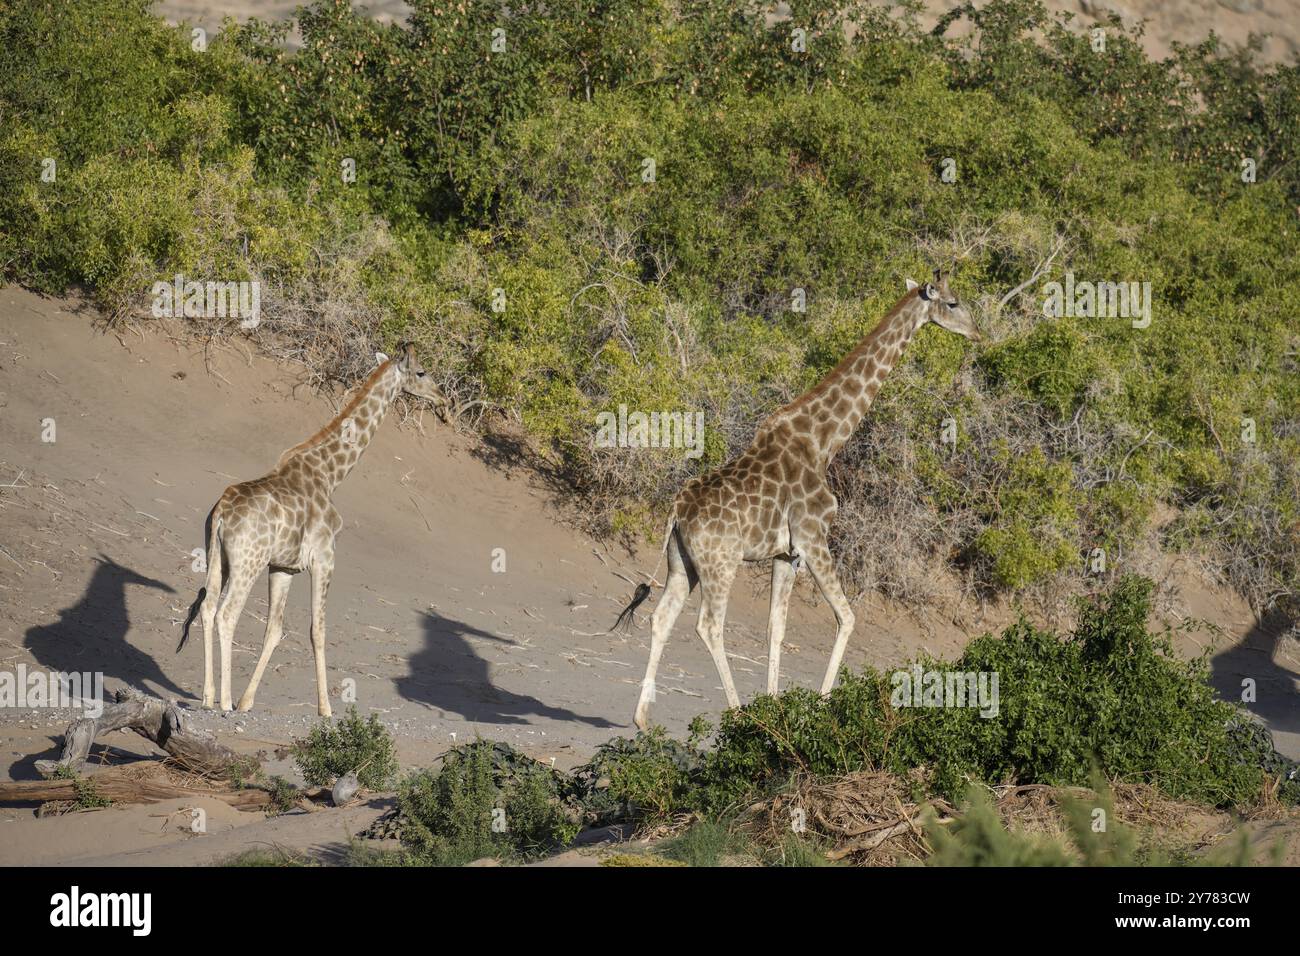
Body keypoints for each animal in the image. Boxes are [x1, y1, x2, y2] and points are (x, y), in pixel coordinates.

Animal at [176, 345, 447, 717]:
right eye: (421, 372)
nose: (441, 397)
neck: (331, 475)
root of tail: (220, 514)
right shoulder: (324, 558)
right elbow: (317, 630)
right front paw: (326, 709)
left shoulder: (283, 567)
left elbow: (274, 630)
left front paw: (248, 702)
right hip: (248, 562)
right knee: (226, 614)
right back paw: (225, 701)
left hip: (217, 558)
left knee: (206, 608)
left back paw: (208, 696)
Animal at [613, 273, 977, 728]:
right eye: (953, 302)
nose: (978, 333)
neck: (823, 441)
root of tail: (677, 513)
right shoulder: (813, 538)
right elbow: (848, 617)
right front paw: (820, 706)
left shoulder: (786, 553)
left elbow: (776, 627)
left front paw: (774, 706)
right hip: (721, 563)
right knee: (709, 626)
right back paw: (737, 714)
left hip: (681, 562)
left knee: (662, 618)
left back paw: (642, 719)